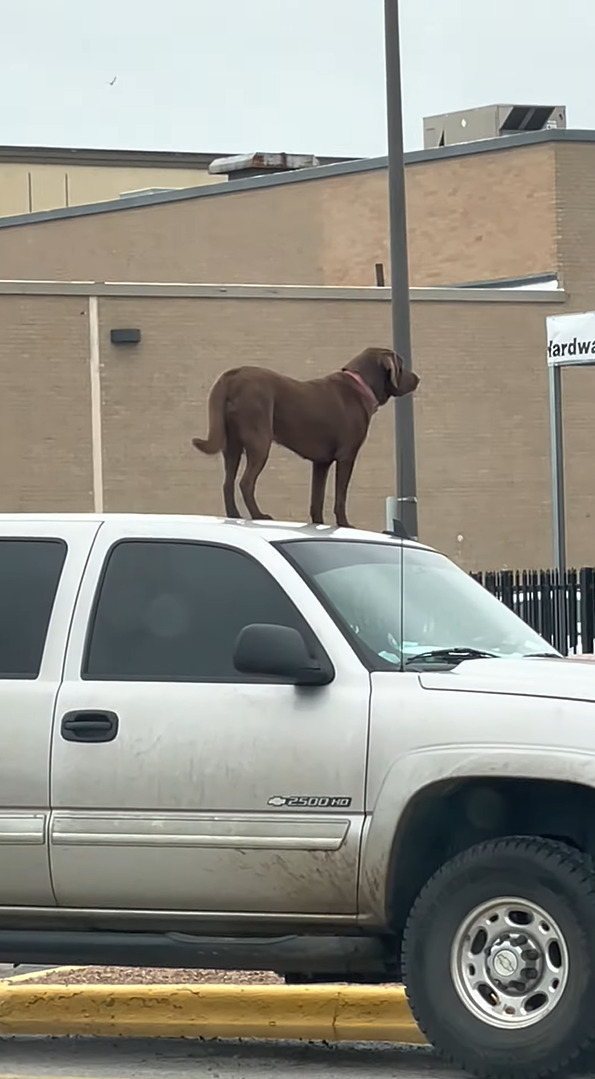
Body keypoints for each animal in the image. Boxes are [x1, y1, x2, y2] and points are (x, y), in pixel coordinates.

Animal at [191, 347, 418, 528]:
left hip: (231, 446)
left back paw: (234, 515)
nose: (417, 378)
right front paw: (344, 524)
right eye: (401, 365)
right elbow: (340, 496)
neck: (362, 385)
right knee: (245, 482)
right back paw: (259, 515)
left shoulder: (321, 463)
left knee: (227, 483)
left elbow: (316, 499)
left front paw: (318, 523)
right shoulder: (347, 456)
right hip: (259, 441)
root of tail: (232, 375)